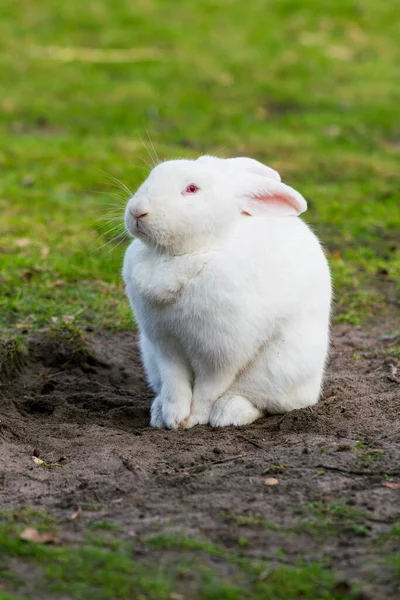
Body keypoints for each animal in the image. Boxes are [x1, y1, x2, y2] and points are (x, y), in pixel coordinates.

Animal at [122, 155, 332, 426]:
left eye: (192, 189)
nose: (137, 211)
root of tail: (312, 388)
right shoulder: (164, 345)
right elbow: (174, 383)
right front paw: (173, 418)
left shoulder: (221, 353)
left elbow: (208, 390)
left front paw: (194, 418)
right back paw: (158, 412)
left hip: (280, 370)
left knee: (261, 401)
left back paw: (227, 414)